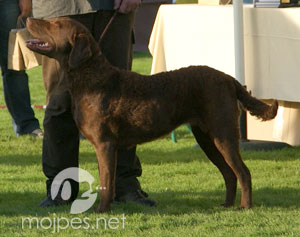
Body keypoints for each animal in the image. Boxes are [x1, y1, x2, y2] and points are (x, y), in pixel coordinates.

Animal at [26, 17, 278, 213]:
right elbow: (106, 179)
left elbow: (106, 182)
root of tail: (229, 79)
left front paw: (101, 210)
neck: (90, 78)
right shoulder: (105, 146)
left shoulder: (105, 144)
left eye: (55, 24)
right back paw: (226, 205)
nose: (27, 19)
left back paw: (245, 206)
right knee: (229, 173)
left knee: (243, 172)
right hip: (207, 138)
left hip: (224, 133)